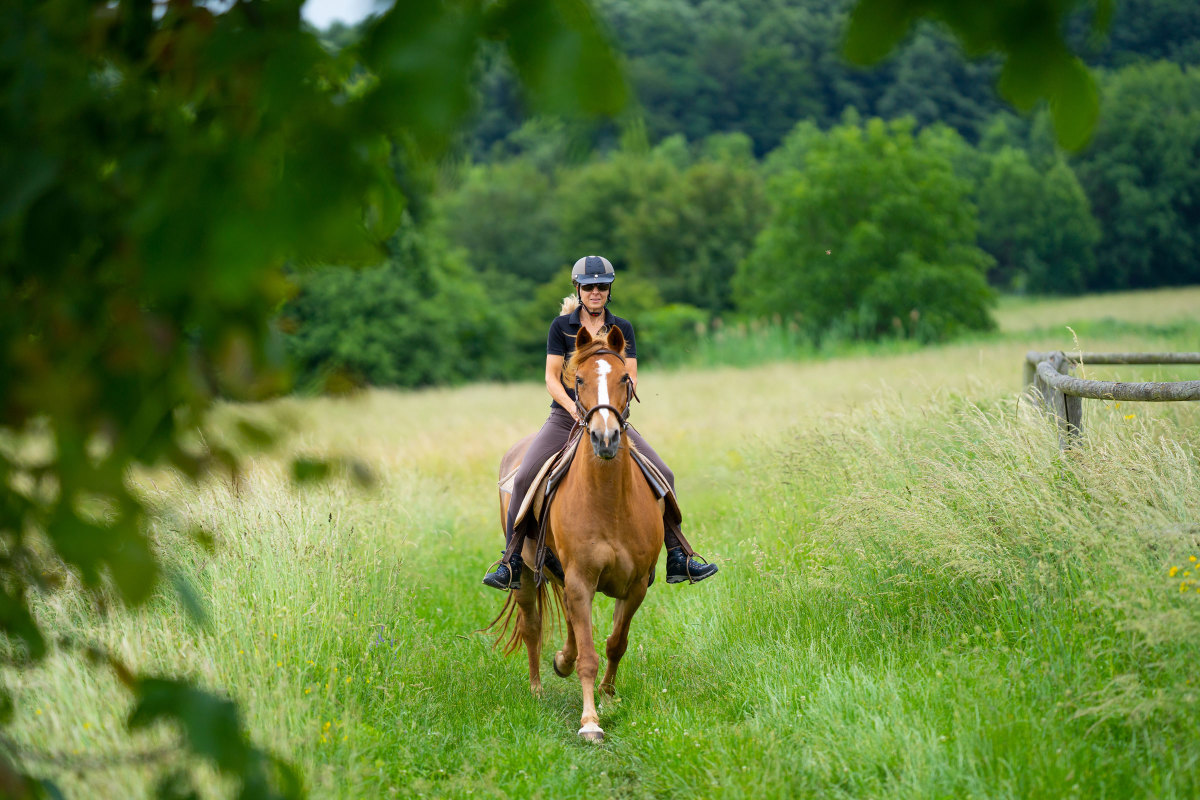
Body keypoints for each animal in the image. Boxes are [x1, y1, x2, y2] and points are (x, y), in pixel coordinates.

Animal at [489, 326, 667, 743]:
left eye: (625, 378)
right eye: (580, 380)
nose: (606, 438)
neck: (608, 502)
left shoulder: (635, 585)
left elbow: (616, 643)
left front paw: (608, 696)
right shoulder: (581, 581)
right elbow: (588, 654)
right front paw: (590, 722)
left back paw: (561, 662)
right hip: (526, 575)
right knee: (533, 626)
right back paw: (538, 688)